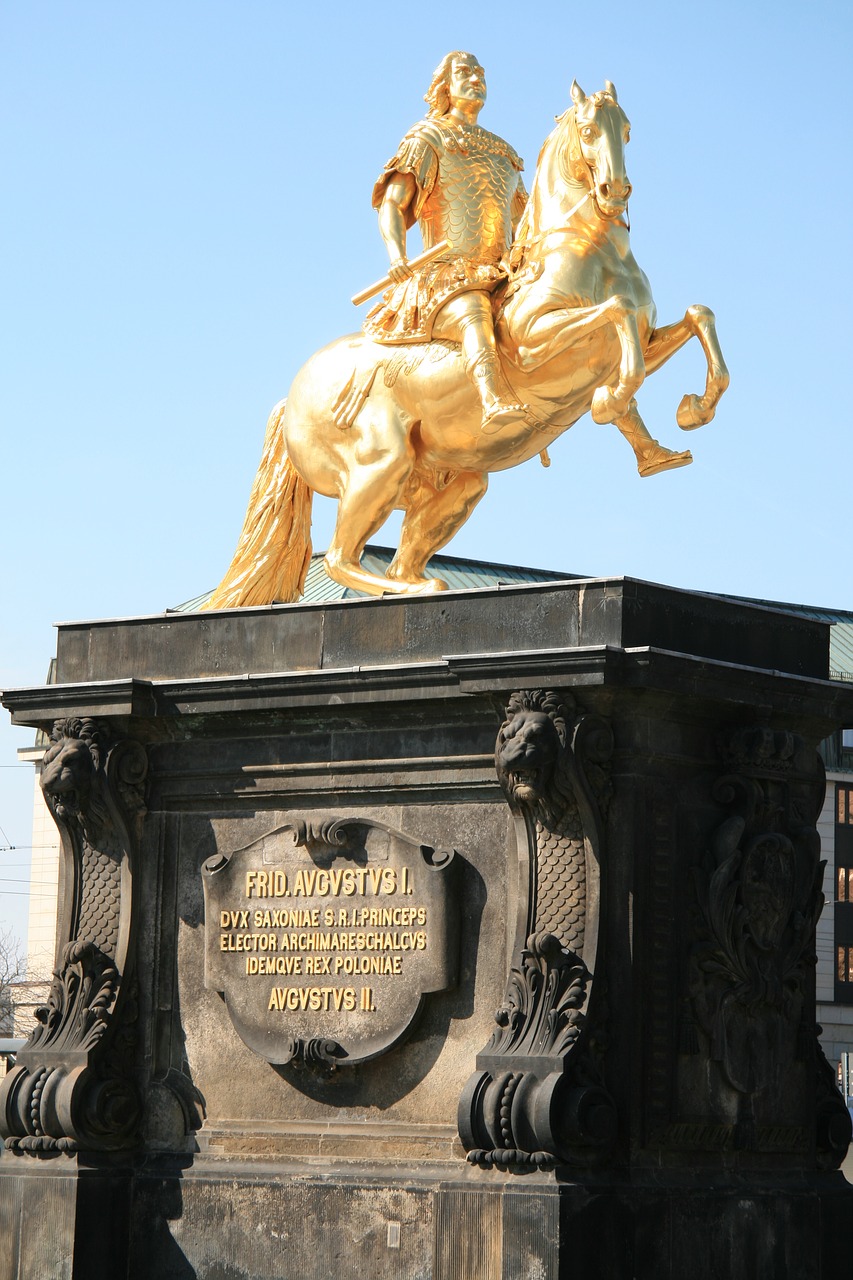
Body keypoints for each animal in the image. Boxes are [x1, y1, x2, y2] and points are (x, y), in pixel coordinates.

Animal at [204, 80, 722, 609]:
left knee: (401, 555)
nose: (614, 192)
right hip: (380, 464)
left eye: (629, 129)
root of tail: (290, 398)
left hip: (456, 481)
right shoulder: (534, 342)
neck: (591, 252)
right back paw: (410, 588)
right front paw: (608, 401)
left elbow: (698, 316)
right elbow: (618, 317)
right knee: (341, 558)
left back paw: (419, 585)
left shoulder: (646, 338)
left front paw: (690, 412)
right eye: (588, 130)